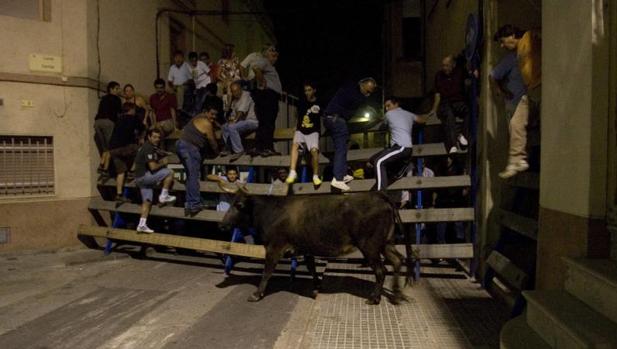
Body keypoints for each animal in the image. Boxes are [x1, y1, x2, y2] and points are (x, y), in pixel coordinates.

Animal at [218, 182, 414, 304]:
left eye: (239, 205)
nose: (222, 225)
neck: (270, 211)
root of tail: (379, 195)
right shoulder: (306, 248)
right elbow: (311, 267)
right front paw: (317, 286)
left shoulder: (274, 247)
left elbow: (266, 272)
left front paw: (257, 294)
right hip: (386, 243)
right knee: (397, 260)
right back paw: (396, 293)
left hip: (370, 245)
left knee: (381, 270)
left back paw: (374, 298)